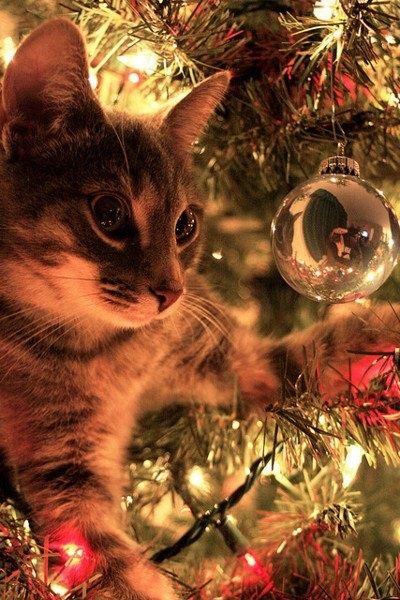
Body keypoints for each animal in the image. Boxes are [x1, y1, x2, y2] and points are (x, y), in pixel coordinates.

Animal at [0, 16, 398, 596]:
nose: (171, 293)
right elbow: (111, 566)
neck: (112, 354)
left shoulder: (228, 359)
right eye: (109, 213)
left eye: (185, 224)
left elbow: (321, 349)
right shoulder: (63, 472)